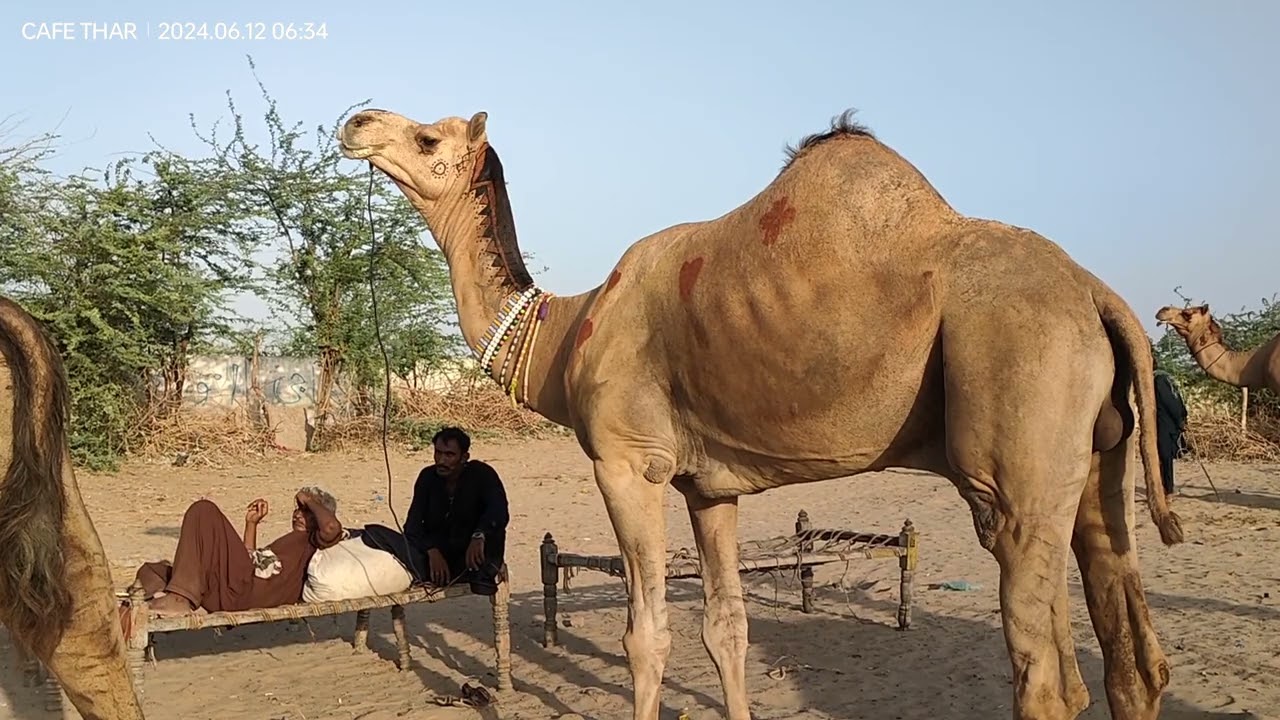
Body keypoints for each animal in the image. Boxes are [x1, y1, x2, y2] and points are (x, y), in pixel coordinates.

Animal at [338, 107, 1183, 720]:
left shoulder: (628, 461)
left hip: (1015, 437)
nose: (355, 120)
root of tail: (1101, 298)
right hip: (1096, 460)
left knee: (1046, 680)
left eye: (427, 136)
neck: (563, 334)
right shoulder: (710, 488)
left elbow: (646, 637)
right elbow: (726, 629)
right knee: (1131, 657)